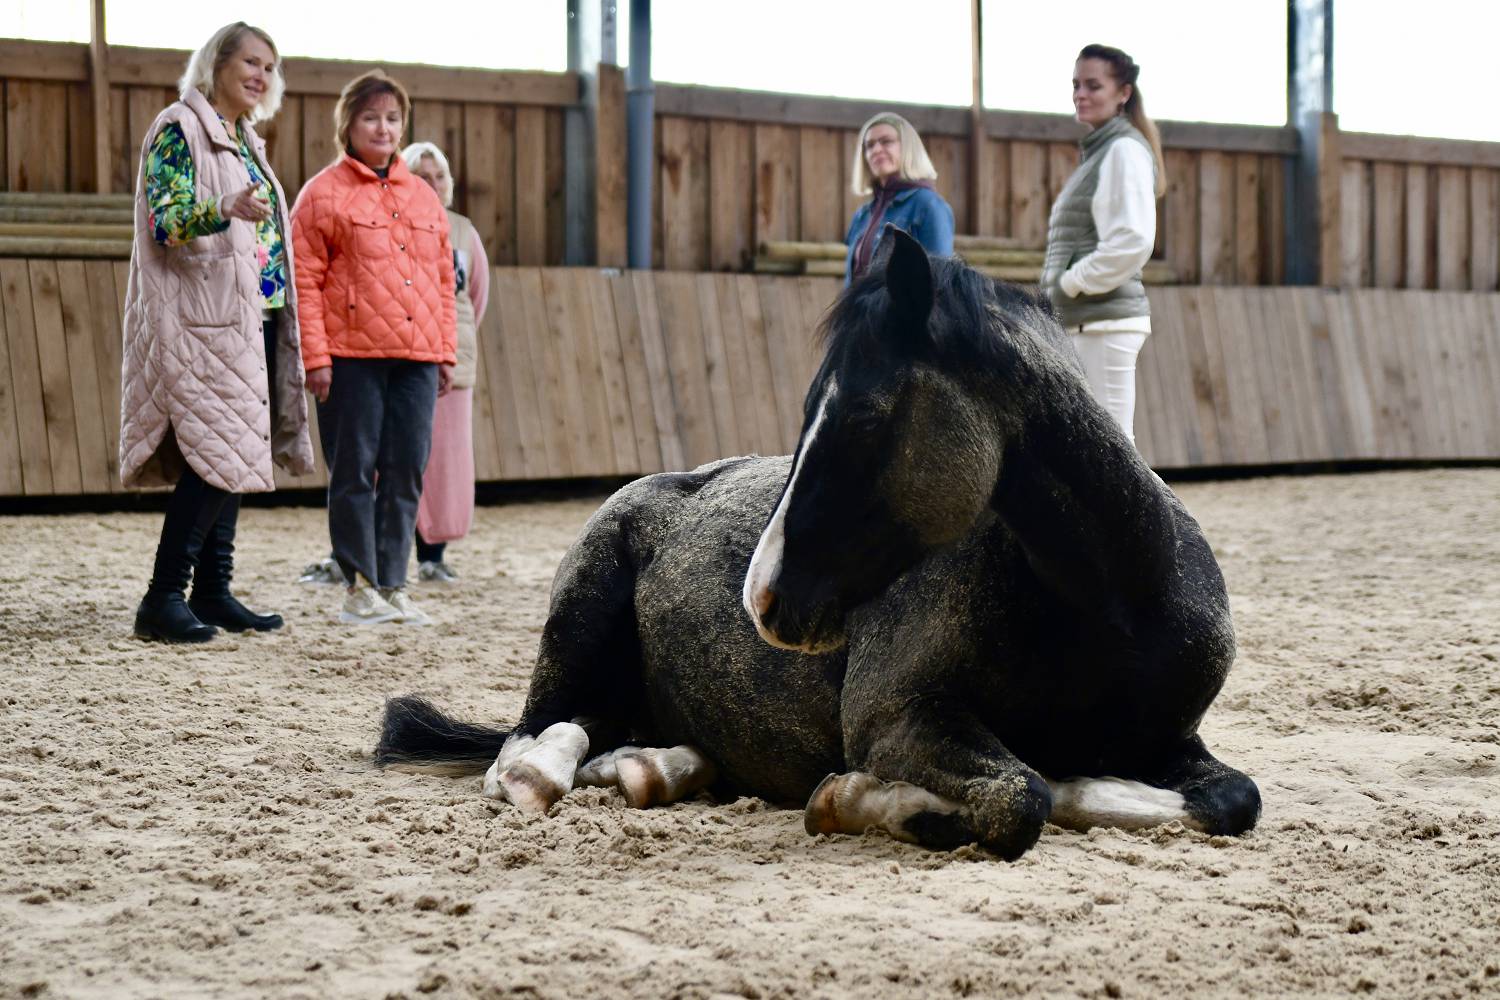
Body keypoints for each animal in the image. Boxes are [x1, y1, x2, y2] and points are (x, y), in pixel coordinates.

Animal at [375, 226, 1254, 863]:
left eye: (862, 414)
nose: (763, 596)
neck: (1120, 605)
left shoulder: (1173, 740)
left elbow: (1236, 799)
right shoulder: (897, 717)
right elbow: (1022, 797)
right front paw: (860, 798)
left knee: (609, 731)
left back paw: (658, 768)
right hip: (576, 625)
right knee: (531, 740)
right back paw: (549, 773)